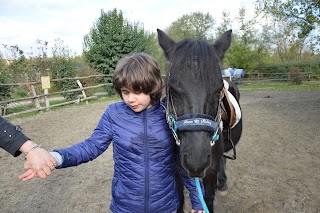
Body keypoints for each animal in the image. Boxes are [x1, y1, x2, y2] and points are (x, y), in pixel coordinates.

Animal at [158, 29, 242, 212]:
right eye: (172, 90)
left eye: (218, 91)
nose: (196, 161)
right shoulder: (176, 167)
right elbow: (179, 199)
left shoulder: (210, 168)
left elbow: (208, 198)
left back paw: (222, 183)